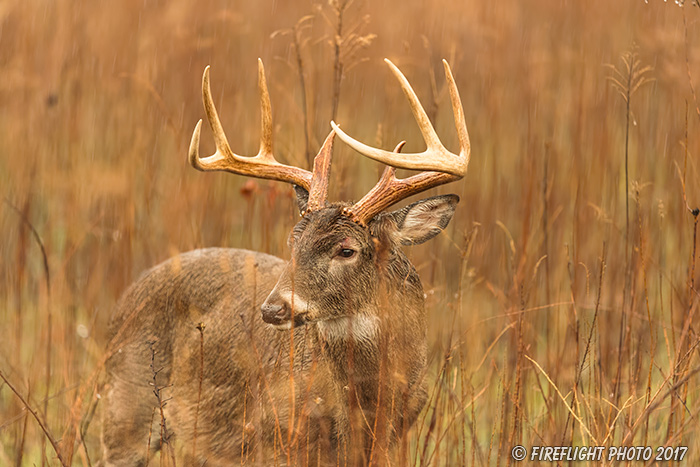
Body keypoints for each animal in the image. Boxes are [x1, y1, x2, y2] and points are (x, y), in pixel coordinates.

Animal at [102, 58, 470, 467]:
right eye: (293, 243)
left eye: (346, 250)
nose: (272, 309)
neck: (367, 407)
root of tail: (128, 294)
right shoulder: (276, 438)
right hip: (126, 405)